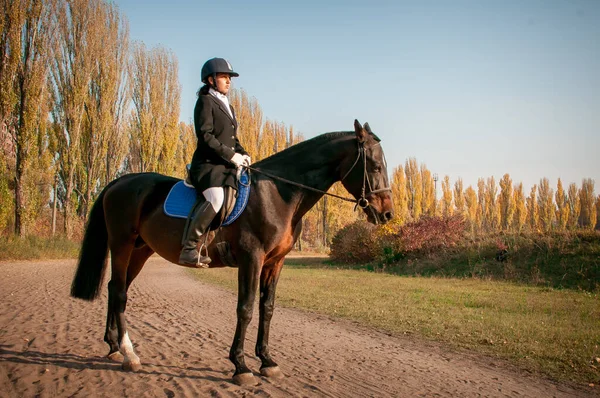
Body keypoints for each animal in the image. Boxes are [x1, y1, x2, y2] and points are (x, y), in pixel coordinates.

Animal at [70, 119, 394, 386]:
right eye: (375, 166)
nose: (387, 214)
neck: (277, 193)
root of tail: (120, 181)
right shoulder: (252, 258)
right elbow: (246, 309)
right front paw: (241, 366)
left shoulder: (275, 263)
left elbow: (267, 308)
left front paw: (267, 361)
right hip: (121, 245)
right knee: (120, 293)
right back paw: (129, 355)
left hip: (140, 251)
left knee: (116, 288)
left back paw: (113, 347)